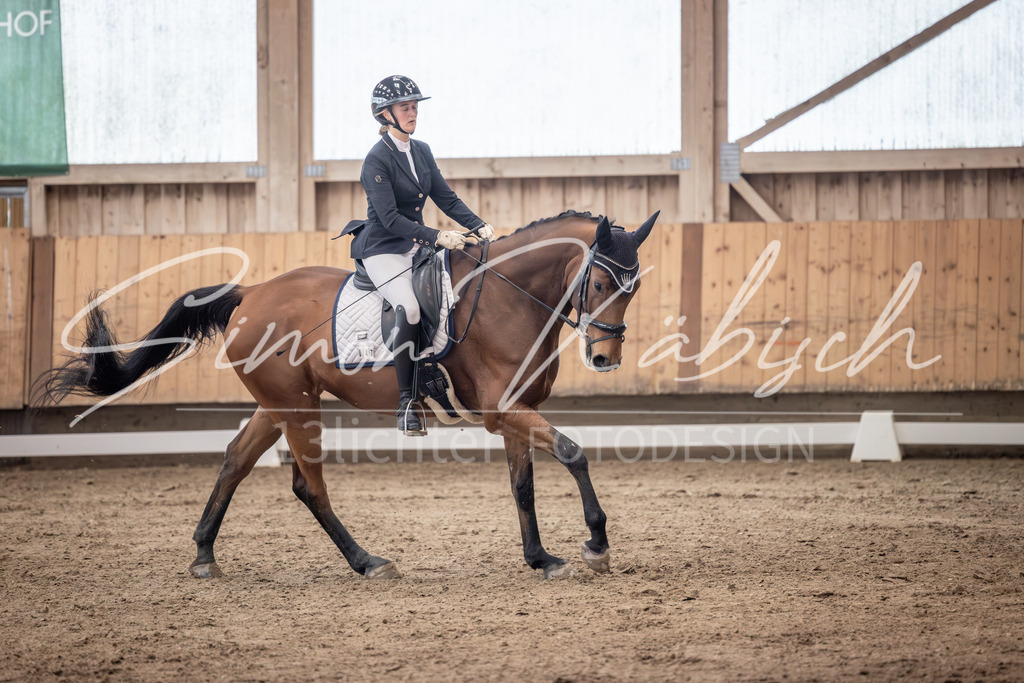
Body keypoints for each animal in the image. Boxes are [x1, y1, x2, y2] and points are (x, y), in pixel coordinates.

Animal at [36, 209, 660, 580]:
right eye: (599, 282)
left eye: (633, 288)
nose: (605, 359)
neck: (510, 300)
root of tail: (250, 292)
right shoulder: (503, 411)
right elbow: (574, 453)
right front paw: (596, 543)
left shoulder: (516, 413)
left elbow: (523, 485)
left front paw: (539, 558)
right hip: (297, 407)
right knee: (307, 486)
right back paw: (367, 562)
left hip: (278, 403)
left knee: (236, 459)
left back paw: (204, 555)